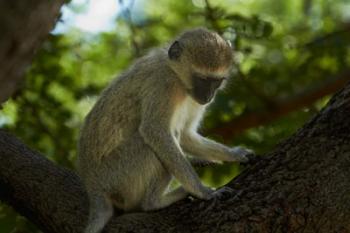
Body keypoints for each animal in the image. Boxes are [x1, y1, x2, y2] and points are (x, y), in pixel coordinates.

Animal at [78, 27, 254, 233]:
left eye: (216, 81)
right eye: (202, 79)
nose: (208, 96)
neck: (176, 74)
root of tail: (93, 186)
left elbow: (185, 135)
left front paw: (235, 154)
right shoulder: (163, 84)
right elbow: (155, 132)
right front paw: (203, 192)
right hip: (117, 176)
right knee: (149, 145)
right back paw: (155, 202)